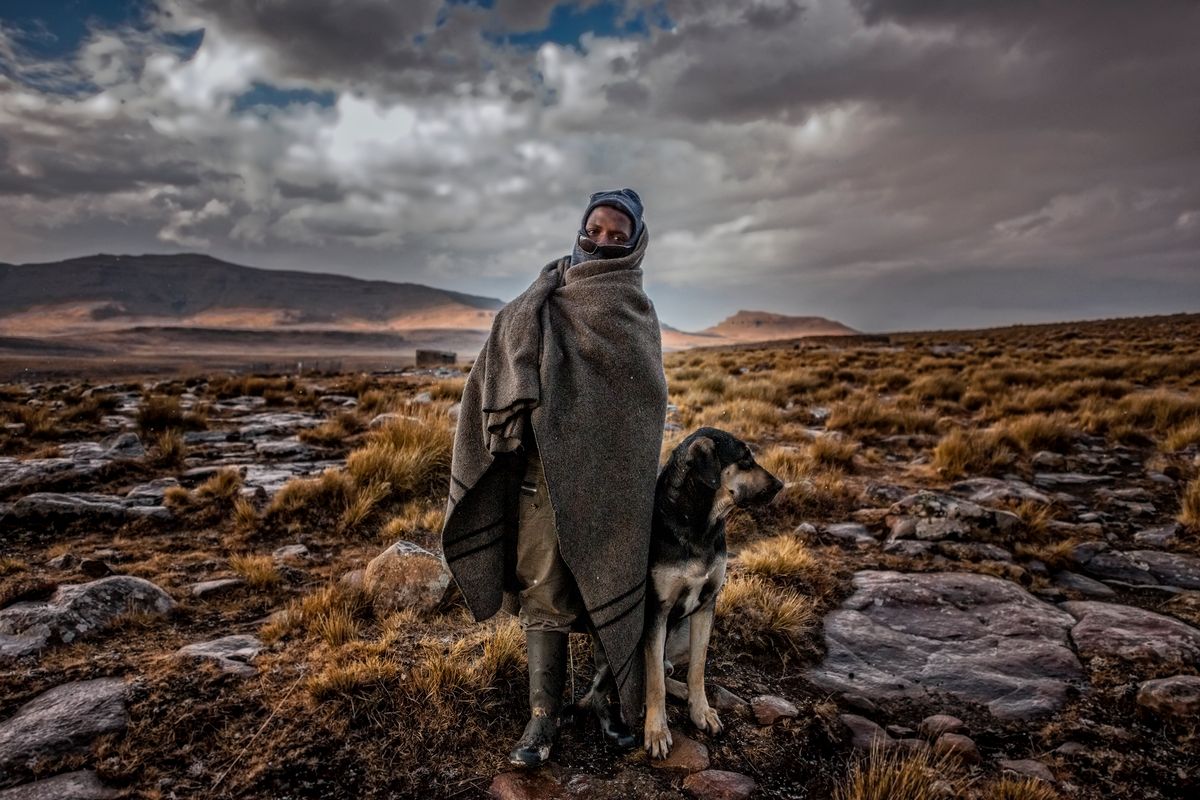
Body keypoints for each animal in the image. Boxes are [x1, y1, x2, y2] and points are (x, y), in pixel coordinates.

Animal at [638, 424, 787, 758]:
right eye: (745, 459)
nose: (781, 485)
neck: (700, 525)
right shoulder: (657, 610)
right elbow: (653, 681)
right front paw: (656, 730)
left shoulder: (707, 605)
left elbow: (698, 667)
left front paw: (701, 711)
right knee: (653, 671)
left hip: (680, 635)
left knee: (668, 667)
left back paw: (680, 690)